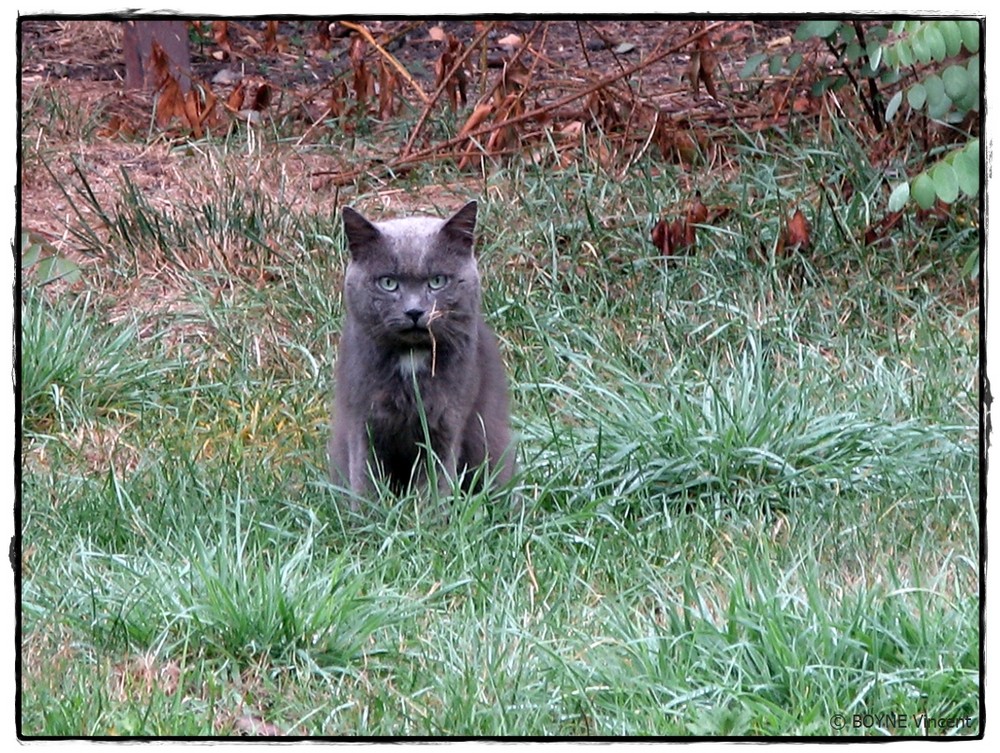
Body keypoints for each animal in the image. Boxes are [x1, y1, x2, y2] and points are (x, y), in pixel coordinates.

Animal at [328, 203, 516, 502]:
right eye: (388, 283)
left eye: (437, 281)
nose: (414, 311)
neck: (411, 359)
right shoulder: (363, 422)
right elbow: (366, 482)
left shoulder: (445, 424)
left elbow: (434, 486)